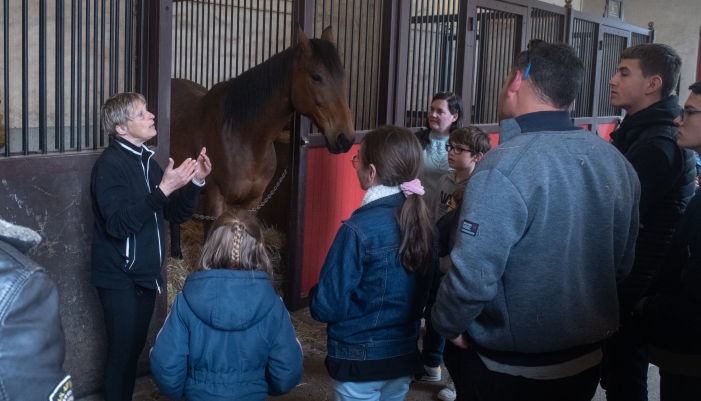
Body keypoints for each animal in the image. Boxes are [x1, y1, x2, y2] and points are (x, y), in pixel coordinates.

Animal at [170, 26, 356, 256]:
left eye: (342, 77)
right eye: (316, 76)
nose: (345, 138)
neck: (244, 138)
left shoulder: (252, 203)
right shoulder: (215, 200)